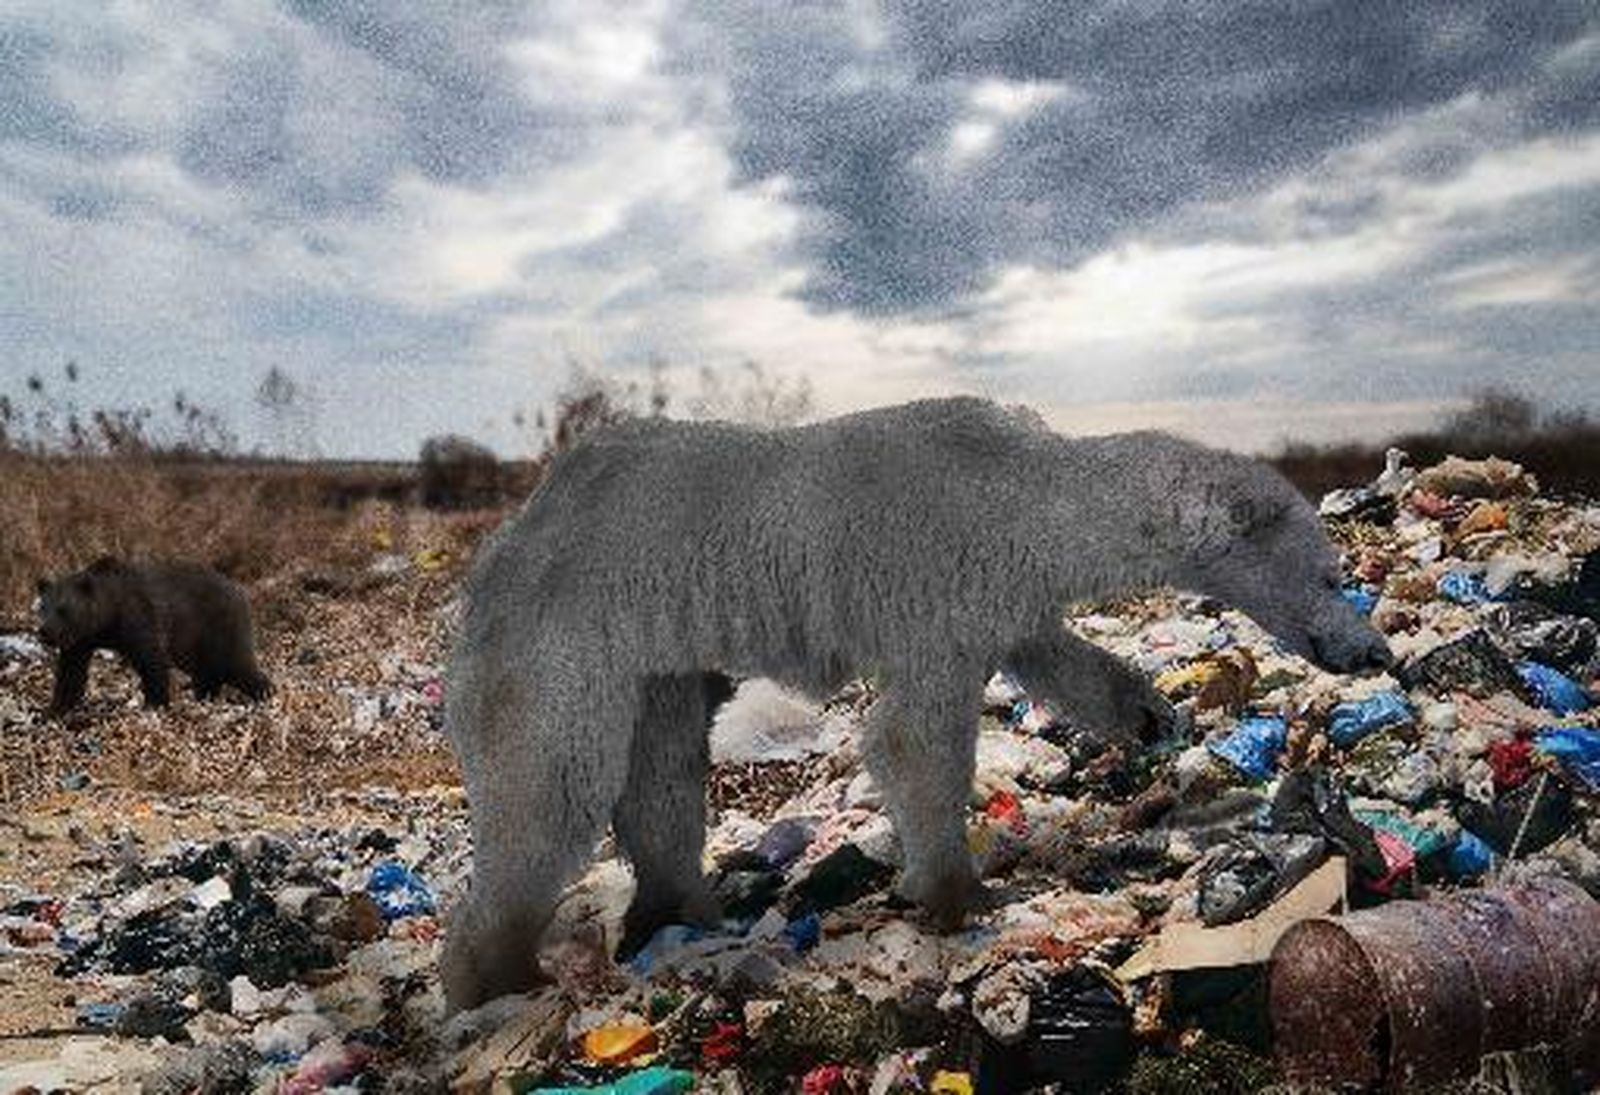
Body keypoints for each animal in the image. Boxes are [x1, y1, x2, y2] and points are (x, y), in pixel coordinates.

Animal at [36, 556, 272, 715]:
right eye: (42, 607)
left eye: (64, 609)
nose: (45, 631)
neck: (107, 618)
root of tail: (240, 591)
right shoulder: (81, 640)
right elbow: (71, 672)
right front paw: (55, 710)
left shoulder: (138, 618)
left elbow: (151, 660)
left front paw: (155, 704)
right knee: (207, 673)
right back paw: (206, 698)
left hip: (217, 628)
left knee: (236, 665)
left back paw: (265, 694)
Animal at [439, 396, 1391, 1011]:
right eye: (1330, 573)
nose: (1371, 650)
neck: (1022, 486)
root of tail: (505, 540)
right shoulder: (935, 572)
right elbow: (914, 735)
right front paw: (961, 890)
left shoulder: (1000, 585)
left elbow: (1050, 652)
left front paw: (1153, 713)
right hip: (569, 634)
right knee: (552, 784)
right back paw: (496, 979)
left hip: (654, 654)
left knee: (664, 771)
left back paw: (682, 910)